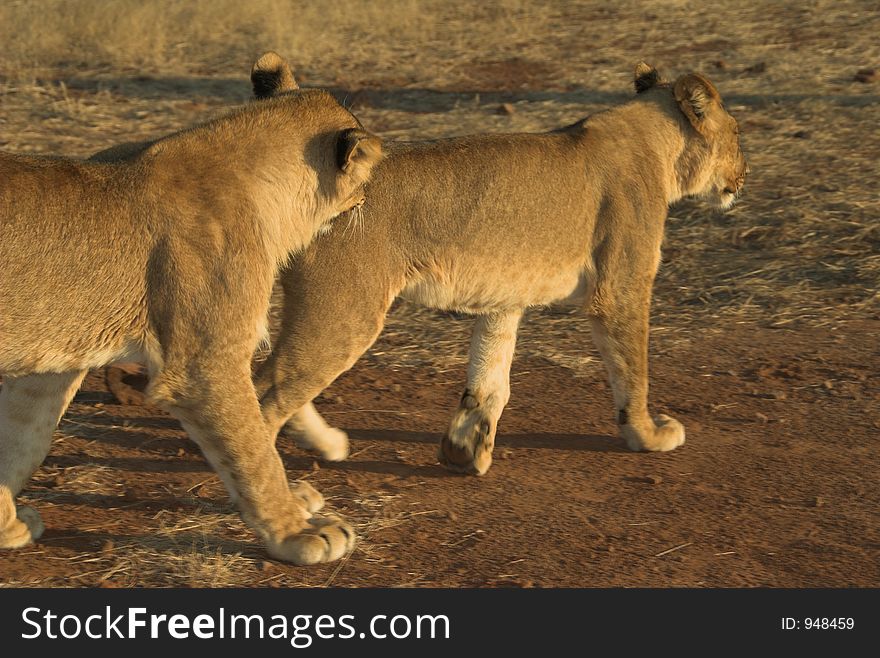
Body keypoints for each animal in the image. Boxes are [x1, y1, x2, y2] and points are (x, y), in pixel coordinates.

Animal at [0, 52, 384, 564]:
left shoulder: (52, 361)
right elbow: (254, 453)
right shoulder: (204, 365)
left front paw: (7, 525)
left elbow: (21, 437)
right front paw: (297, 532)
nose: (370, 199)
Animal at [249, 56, 748, 472]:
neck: (656, 144)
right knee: (266, 390)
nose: (744, 175)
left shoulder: (505, 296)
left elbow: (490, 375)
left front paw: (464, 451)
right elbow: (634, 370)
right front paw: (649, 435)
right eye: (739, 134)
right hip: (345, 312)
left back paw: (327, 444)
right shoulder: (621, 288)